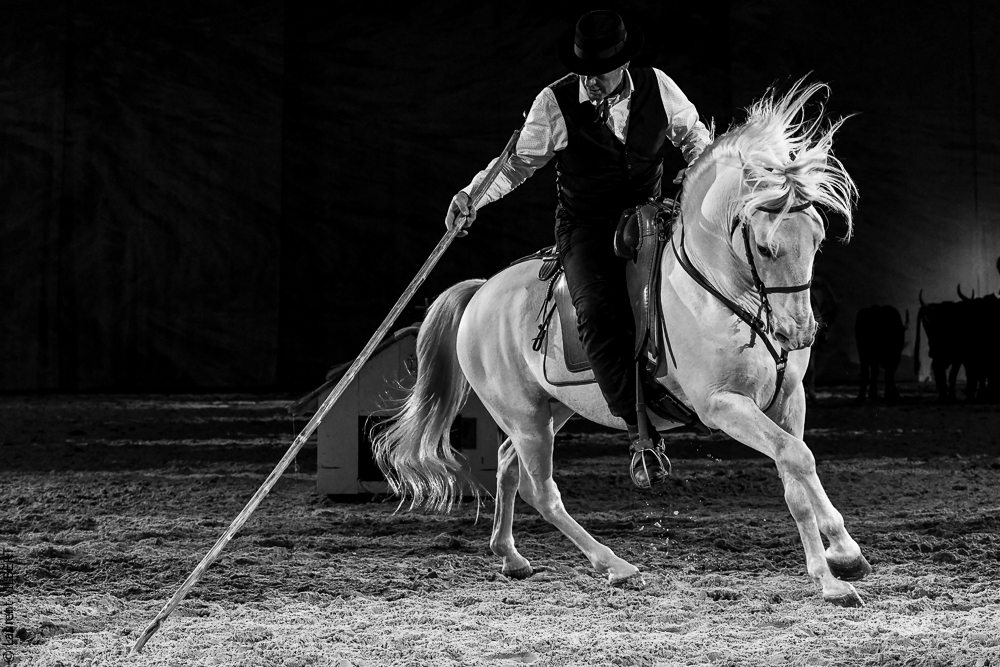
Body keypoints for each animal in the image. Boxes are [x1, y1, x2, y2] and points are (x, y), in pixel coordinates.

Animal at [373, 79, 872, 607]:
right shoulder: (724, 406)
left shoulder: (787, 399)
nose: (798, 333)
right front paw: (831, 575)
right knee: (540, 490)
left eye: (817, 237)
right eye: (765, 247)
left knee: (509, 466)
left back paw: (510, 556)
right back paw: (616, 566)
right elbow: (796, 459)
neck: (718, 288)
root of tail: (481, 291)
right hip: (525, 417)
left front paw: (842, 556)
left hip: (550, 408)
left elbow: (796, 469)